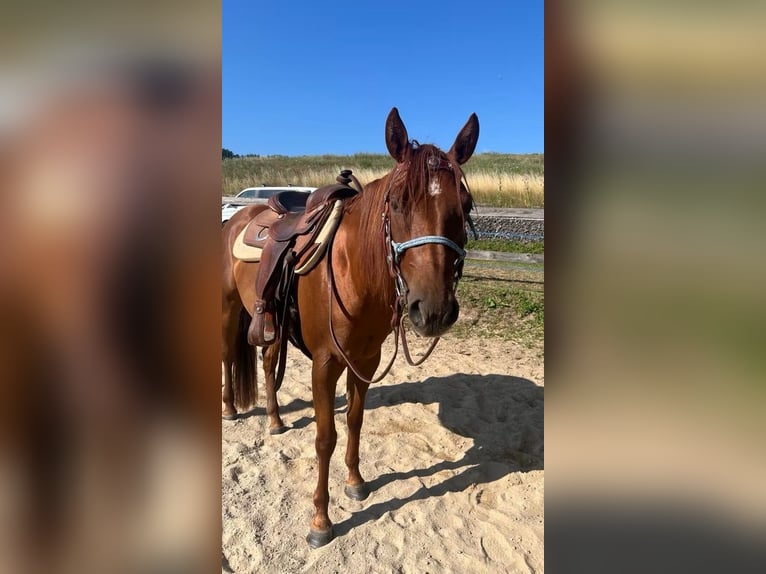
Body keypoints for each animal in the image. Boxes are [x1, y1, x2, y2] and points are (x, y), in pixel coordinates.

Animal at [221, 107, 479, 547]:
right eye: (396, 201)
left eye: (465, 205)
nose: (434, 310)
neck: (352, 271)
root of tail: (237, 215)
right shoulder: (324, 364)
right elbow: (325, 437)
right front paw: (320, 521)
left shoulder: (366, 360)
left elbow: (355, 421)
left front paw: (357, 482)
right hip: (225, 308)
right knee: (225, 355)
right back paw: (229, 409)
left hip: (269, 325)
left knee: (269, 361)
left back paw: (274, 420)